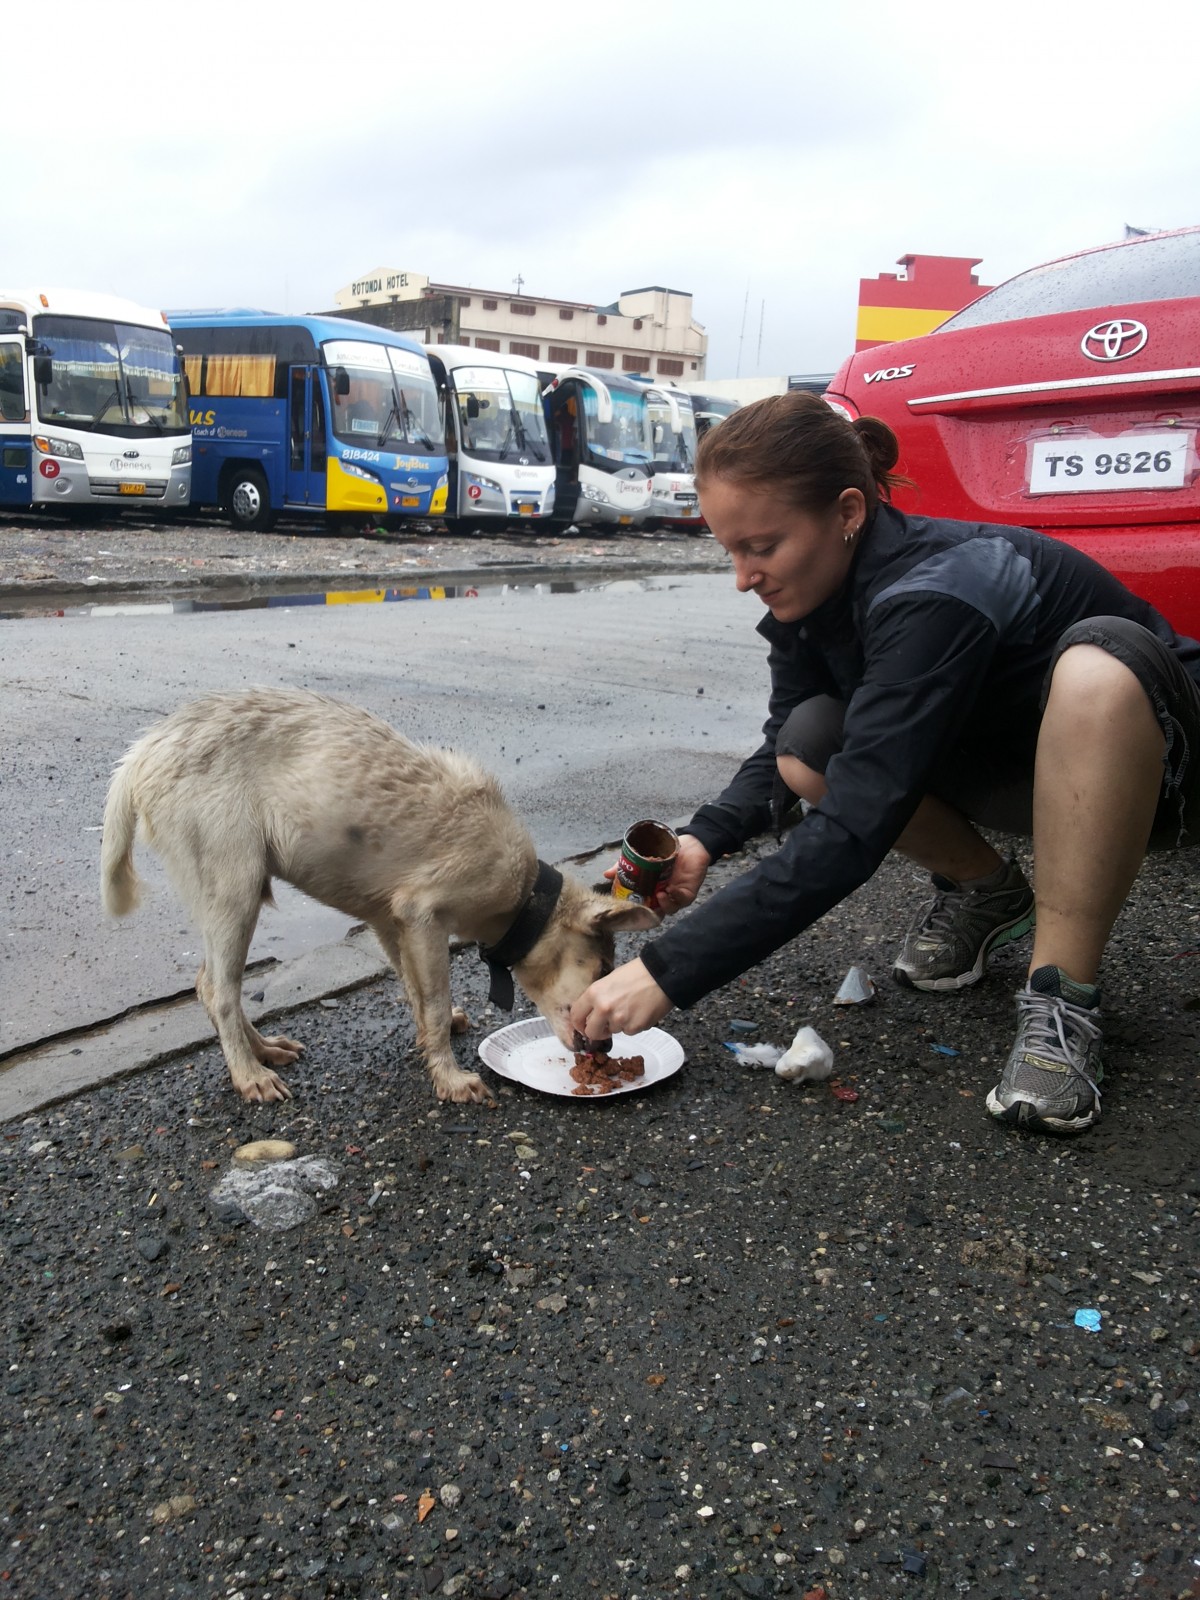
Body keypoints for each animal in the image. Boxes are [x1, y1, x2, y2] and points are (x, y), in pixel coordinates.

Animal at [101, 694, 659, 1107]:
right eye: (604, 967)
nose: (608, 1048)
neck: (524, 898)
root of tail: (143, 750)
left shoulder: (393, 924)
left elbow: (417, 992)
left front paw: (435, 1040)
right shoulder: (424, 916)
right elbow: (433, 1000)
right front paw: (451, 1079)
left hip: (238, 896)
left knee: (211, 986)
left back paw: (264, 1050)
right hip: (234, 891)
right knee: (219, 990)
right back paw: (247, 1073)